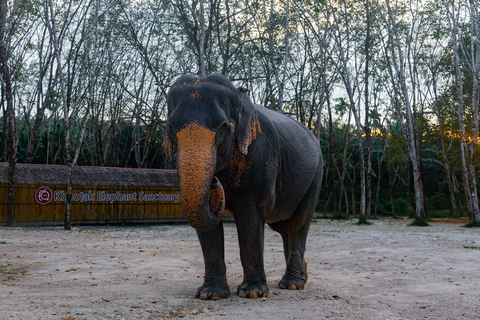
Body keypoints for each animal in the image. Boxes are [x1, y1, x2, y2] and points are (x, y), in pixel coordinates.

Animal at [163, 73, 324, 300]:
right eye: (170, 127)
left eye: (224, 128)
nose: (214, 181)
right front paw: (210, 294)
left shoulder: (260, 155)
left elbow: (249, 215)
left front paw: (252, 293)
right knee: (284, 227)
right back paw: (301, 277)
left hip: (315, 176)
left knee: (298, 224)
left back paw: (292, 285)